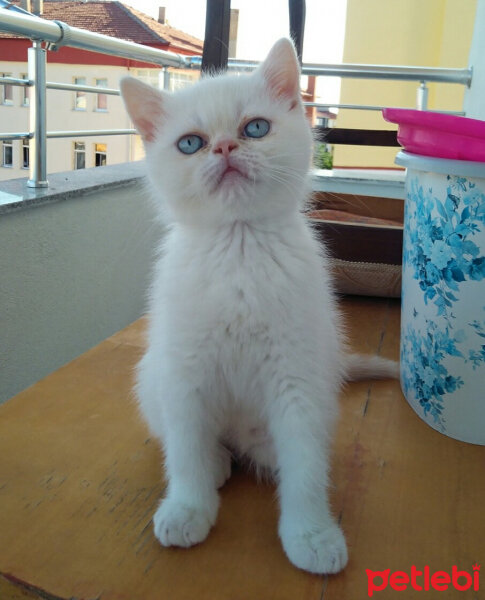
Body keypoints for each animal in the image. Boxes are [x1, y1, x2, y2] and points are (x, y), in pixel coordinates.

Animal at [119, 39, 396, 576]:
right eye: (190, 143)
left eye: (255, 129)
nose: (226, 148)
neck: (239, 247)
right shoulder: (184, 369)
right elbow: (185, 447)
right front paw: (187, 507)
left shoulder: (298, 374)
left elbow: (306, 464)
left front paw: (311, 533)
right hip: (153, 375)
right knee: (199, 439)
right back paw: (217, 462)